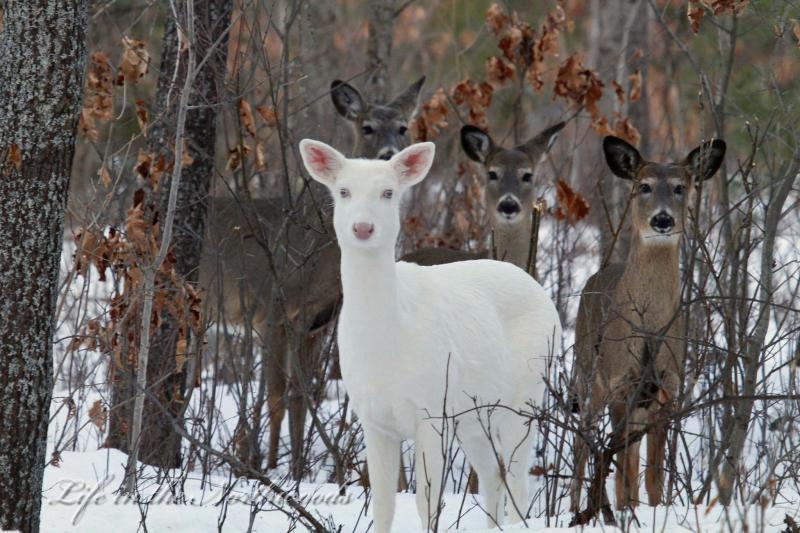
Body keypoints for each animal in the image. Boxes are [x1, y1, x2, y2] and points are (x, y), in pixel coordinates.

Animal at [298, 138, 562, 533]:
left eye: (388, 192)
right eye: (343, 191)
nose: (363, 227)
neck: (386, 342)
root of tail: (538, 288)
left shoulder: (431, 410)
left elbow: (427, 502)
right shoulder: (374, 418)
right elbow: (383, 504)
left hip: (527, 393)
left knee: (517, 479)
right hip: (473, 415)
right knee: (493, 474)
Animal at [569, 135, 726, 514]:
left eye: (681, 187)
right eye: (644, 186)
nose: (663, 219)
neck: (650, 328)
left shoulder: (668, 388)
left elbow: (653, 473)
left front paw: (656, 511)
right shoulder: (619, 383)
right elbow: (623, 467)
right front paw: (626, 511)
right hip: (588, 374)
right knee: (583, 443)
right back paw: (573, 507)